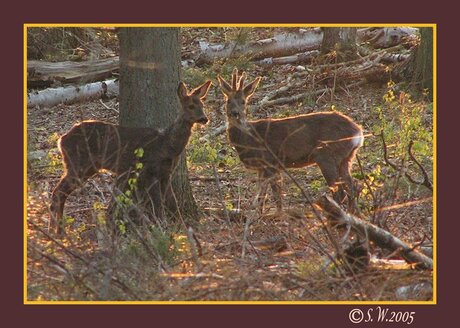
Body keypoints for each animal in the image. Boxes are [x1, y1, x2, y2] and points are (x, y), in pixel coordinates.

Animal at [49, 81, 212, 236]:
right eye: (191, 106)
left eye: (202, 105)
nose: (204, 118)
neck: (167, 145)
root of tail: (61, 140)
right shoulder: (151, 171)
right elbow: (158, 204)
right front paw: (162, 227)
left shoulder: (166, 174)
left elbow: (173, 203)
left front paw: (182, 227)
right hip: (78, 164)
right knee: (58, 192)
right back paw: (55, 231)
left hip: (86, 167)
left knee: (61, 193)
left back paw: (58, 231)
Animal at [217, 69, 364, 213]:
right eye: (228, 100)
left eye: (243, 101)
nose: (235, 113)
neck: (248, 138)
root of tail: (358, 132)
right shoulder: (263, 168)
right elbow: (262, 197)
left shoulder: (270, 162)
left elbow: (275, 195)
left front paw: (277, 216)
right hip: (346, 158)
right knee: (353, 187)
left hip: (326, 155)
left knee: (340, 192)